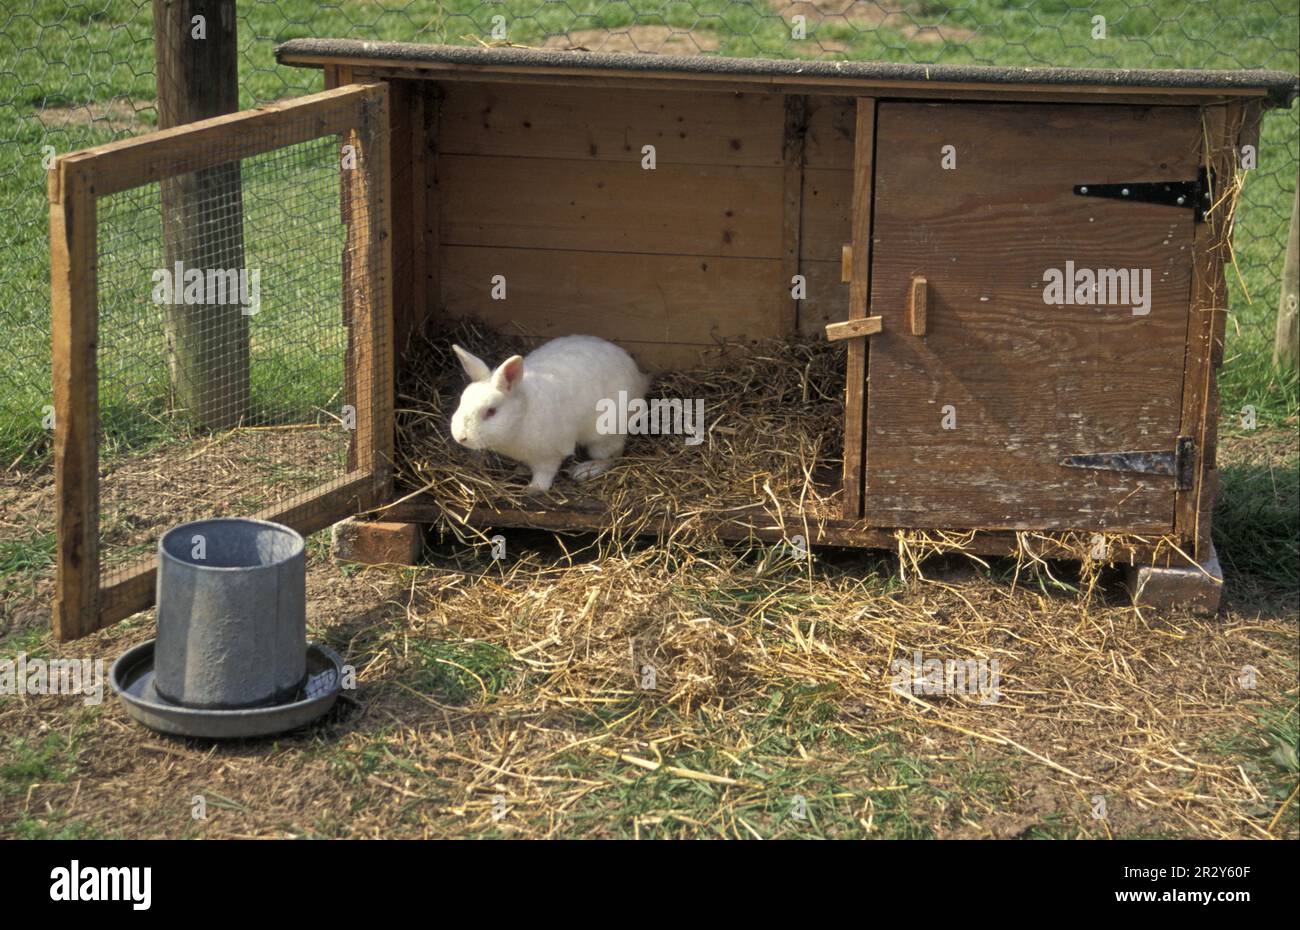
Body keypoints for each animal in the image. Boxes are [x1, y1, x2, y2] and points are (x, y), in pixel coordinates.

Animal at [449, 335, 650, 494]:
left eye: (491, 411)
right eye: (462, 400)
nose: (460, 438)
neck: (522, 414)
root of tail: (639, 379)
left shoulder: (549, 456)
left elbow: (544, 474)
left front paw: (533, 489)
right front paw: (521, 470)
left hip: (605, 437)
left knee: (612, 456)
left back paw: (583, 471)